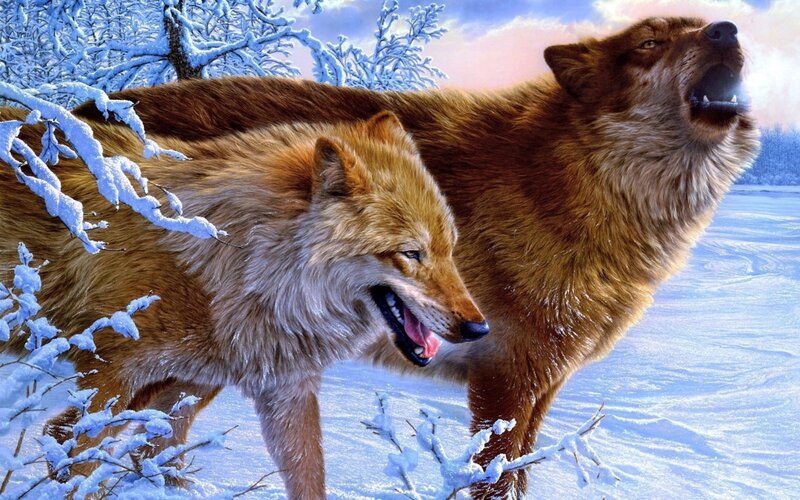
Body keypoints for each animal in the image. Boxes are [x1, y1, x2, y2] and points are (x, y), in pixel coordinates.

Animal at [0, 109, 488, 498]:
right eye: (411, 253)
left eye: (449, 249)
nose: (478, 328)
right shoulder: (110, 374)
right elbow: (69, 447)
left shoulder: (269, 388)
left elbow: (302, 474)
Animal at [74, 17, 761, 496]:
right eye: (649, 42)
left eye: (699, 24)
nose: (727, 30)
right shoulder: (506, 379)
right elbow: (493, 479)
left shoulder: (545, 383)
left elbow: (521, 475)